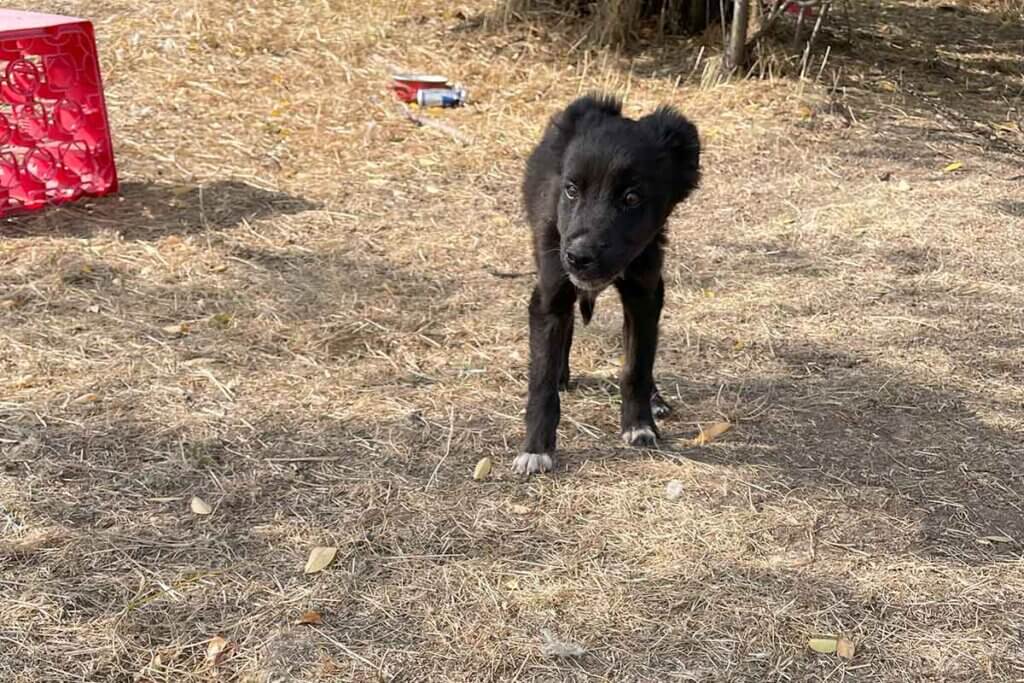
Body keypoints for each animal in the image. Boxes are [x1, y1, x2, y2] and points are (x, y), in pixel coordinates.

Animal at [516, 92, 700, 475]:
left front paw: (639, 424)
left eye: (631, 198)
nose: (578, 257)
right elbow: (541, 379)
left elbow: (637, 365)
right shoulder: (550, 294)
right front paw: (536, 449)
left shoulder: (644, 296)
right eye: (571, 190)